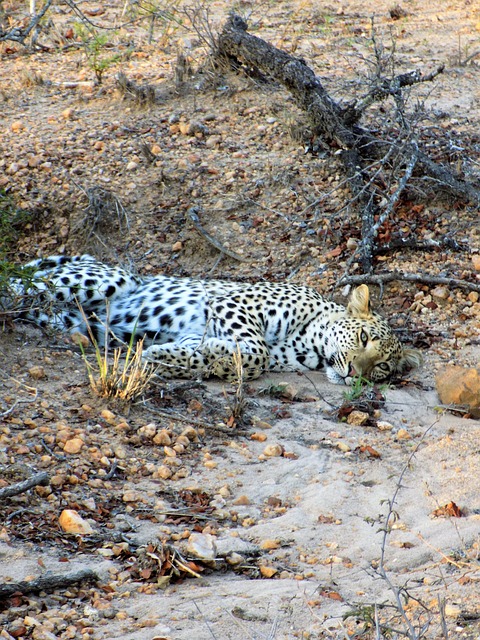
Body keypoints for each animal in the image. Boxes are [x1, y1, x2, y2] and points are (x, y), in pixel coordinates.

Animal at [10, 254, 421, 384]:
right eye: (364, 338)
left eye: (382, 367)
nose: (355, 373)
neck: (311, 341)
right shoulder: (233, 302)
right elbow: (255, 351)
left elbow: (237, 357)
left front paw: (168, 356)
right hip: (105, 281)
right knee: (17, 285)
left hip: (74, 320)